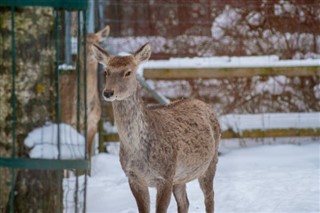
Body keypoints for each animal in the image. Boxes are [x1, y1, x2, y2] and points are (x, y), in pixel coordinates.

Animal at [60, 25, 110, 158]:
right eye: (82, 41)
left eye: (98, 42)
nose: (90, 52)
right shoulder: (69, 121)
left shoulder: (93, 123)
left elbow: (89, 154)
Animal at [90, 42, 220, 213]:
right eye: (106, 71)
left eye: (128, 72)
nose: (108, 92)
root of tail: (205, 104)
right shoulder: (133, 177)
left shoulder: (165, 176)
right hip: (180, 177)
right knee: (185, 202)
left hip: (210, 162)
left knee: (210, 196)